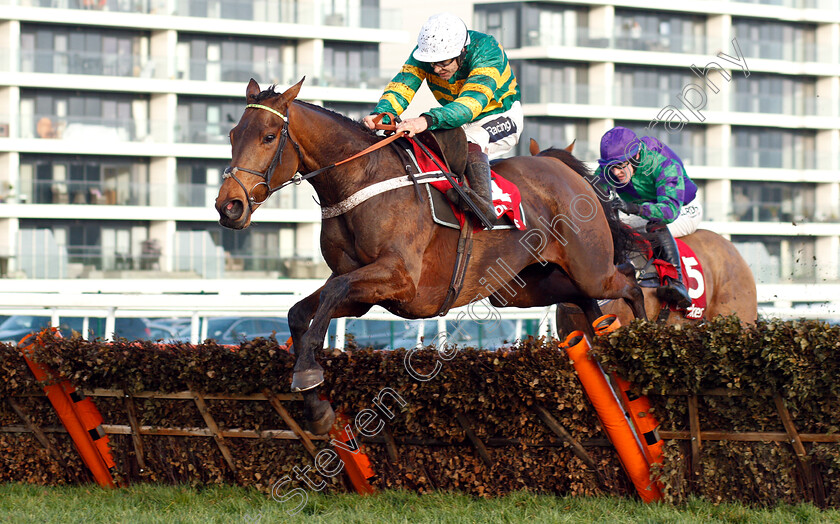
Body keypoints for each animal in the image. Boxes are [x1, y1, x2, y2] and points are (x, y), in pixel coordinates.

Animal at [217, 79, 644, 434]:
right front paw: (317, 408)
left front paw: (307, 374)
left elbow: (332, 294)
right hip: (524, 286)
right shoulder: (361, 292)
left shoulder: (401, 279)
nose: (229, 206)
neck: (362, 180)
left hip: (590, 265)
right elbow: (301, 314)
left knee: (628, 282)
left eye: (269, 136)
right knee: (585, 299)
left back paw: (642, 341)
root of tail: (561, 168)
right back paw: (605, 337)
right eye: (233, 134)